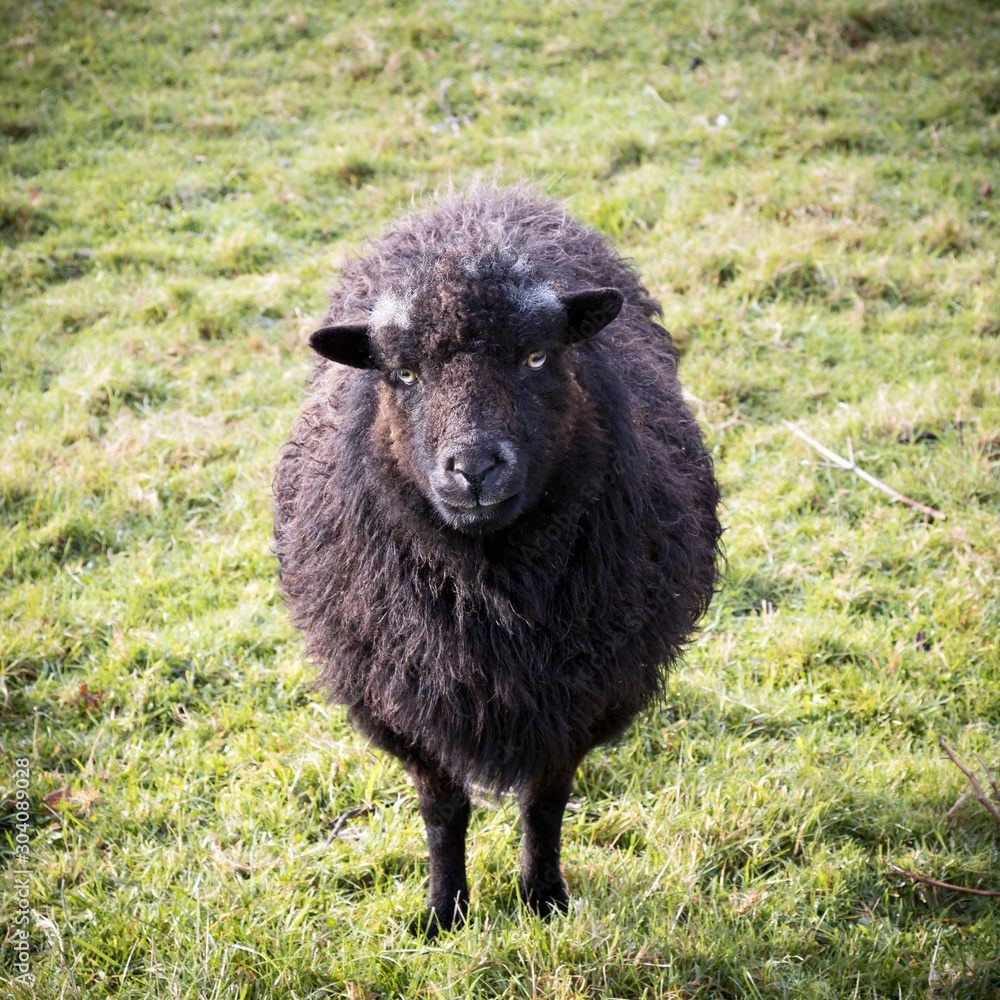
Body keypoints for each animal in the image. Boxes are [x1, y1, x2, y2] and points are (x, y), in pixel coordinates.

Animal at [273, 184, 721, 935]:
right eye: (404, 373)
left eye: (537, 358)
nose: (475, 468)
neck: (488, 582)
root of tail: (478, 198)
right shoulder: (400, 697)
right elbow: (442, 810)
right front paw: (443, 913)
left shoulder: (579, 692)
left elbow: (545, 802)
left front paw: (543, 899)